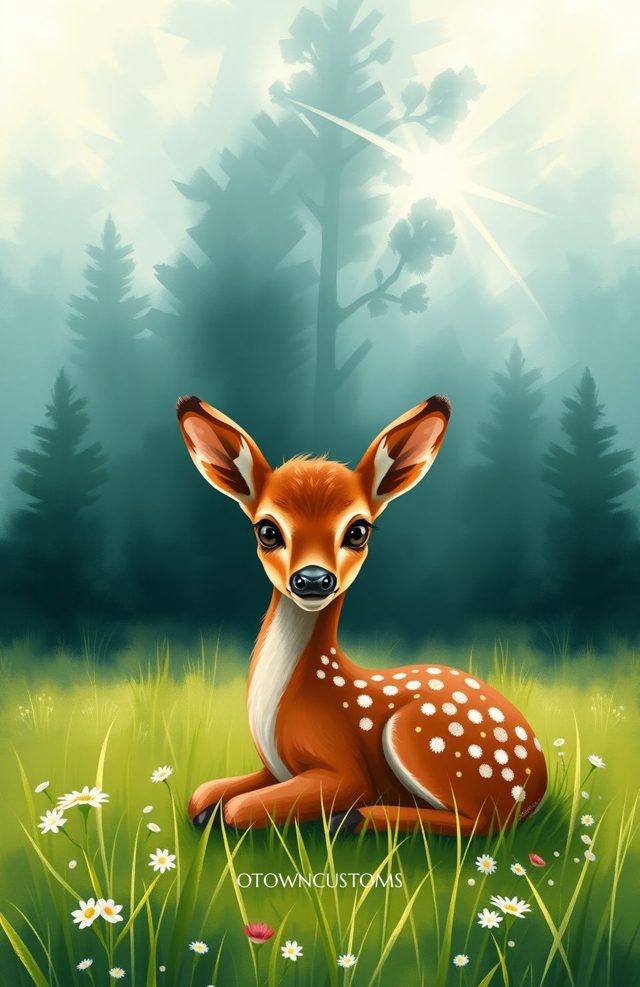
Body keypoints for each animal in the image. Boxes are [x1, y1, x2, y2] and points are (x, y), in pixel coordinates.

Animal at [176, 394, 547, 836]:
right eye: (266, 530)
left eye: (358, 530)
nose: (313, 580)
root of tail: (538, 780)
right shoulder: (274, 769)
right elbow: (202, 793)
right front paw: (206, 808)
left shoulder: (345, 770)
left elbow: (238, 809)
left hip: (424, 740)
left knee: (483, 823)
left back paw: (354, 818)